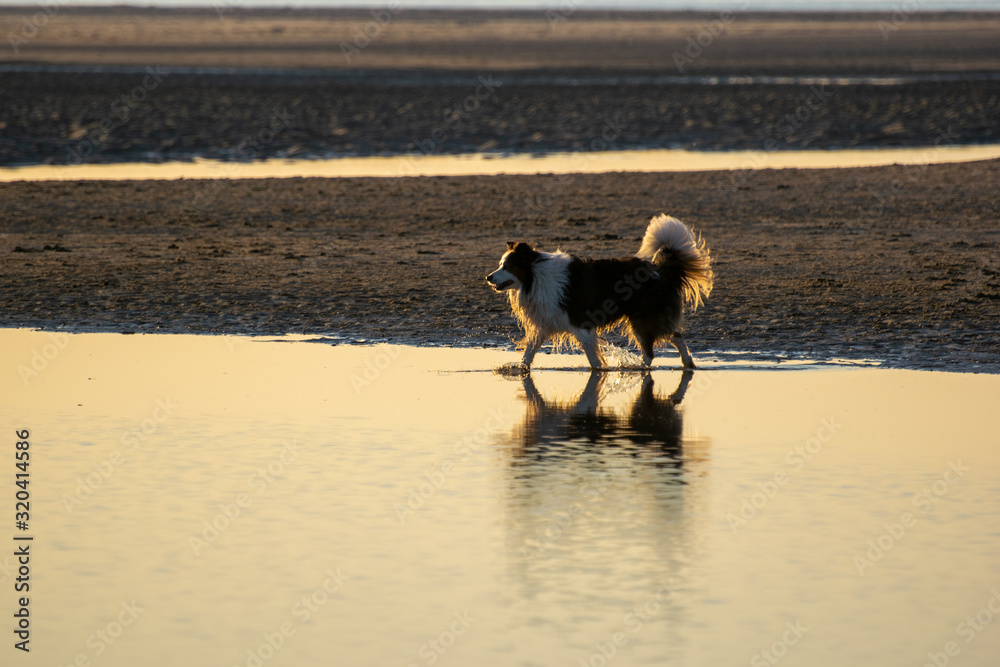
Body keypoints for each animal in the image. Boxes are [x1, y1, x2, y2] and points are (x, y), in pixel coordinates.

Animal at [484, 215, 712, 368]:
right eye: (500, 265)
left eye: (507, 267)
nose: (488, 277)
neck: (535, 277)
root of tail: (660, 269)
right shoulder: (546, 322)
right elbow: (529, 352)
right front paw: (519, 370)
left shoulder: (581, 324)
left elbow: (593, 360)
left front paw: (599, 375)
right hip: (651, 317)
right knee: (675, 334)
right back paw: (688, 362)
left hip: (642, 318)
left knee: (650, 352)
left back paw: (639, 369)